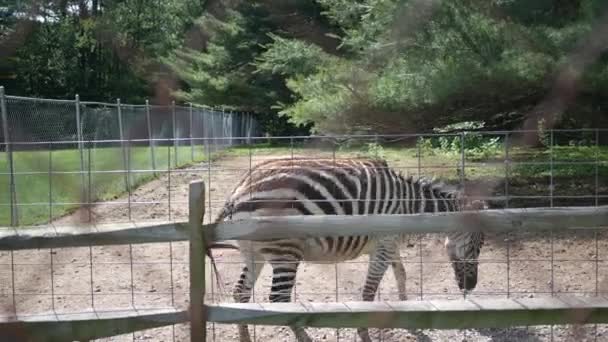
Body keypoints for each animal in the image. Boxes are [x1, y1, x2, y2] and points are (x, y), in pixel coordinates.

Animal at [216, 158, 486, 342]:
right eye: (479, 245)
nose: (471, 286)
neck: (410, 207)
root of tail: (239, 190)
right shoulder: (384, 245)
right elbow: (368, 294)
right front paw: (364, 332)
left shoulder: (389, 244)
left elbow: (401, 274)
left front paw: (408, 311)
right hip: (285, 251)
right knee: (279, 300)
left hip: (254, 253)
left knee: (240, 293)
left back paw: (245, 337)